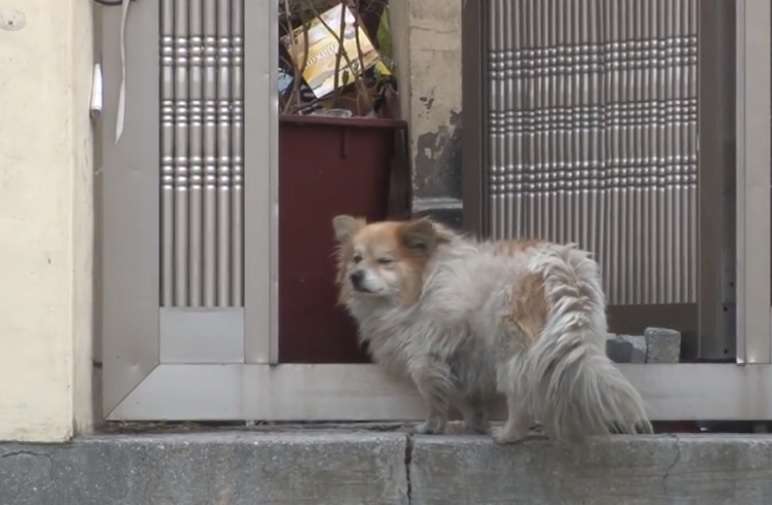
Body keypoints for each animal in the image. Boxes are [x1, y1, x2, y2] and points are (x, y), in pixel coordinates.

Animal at [333, 215, 652, 443]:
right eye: (356, 259)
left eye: (385, 261)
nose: (355, 276)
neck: (423, 282)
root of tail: (561, 265)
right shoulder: (463, 357)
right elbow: (468, 398)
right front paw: (474, 425)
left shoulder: (427, 356)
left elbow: (435, 398)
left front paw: (432, 427)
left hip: (510, 345)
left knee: (522, 396)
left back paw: (509, 435)